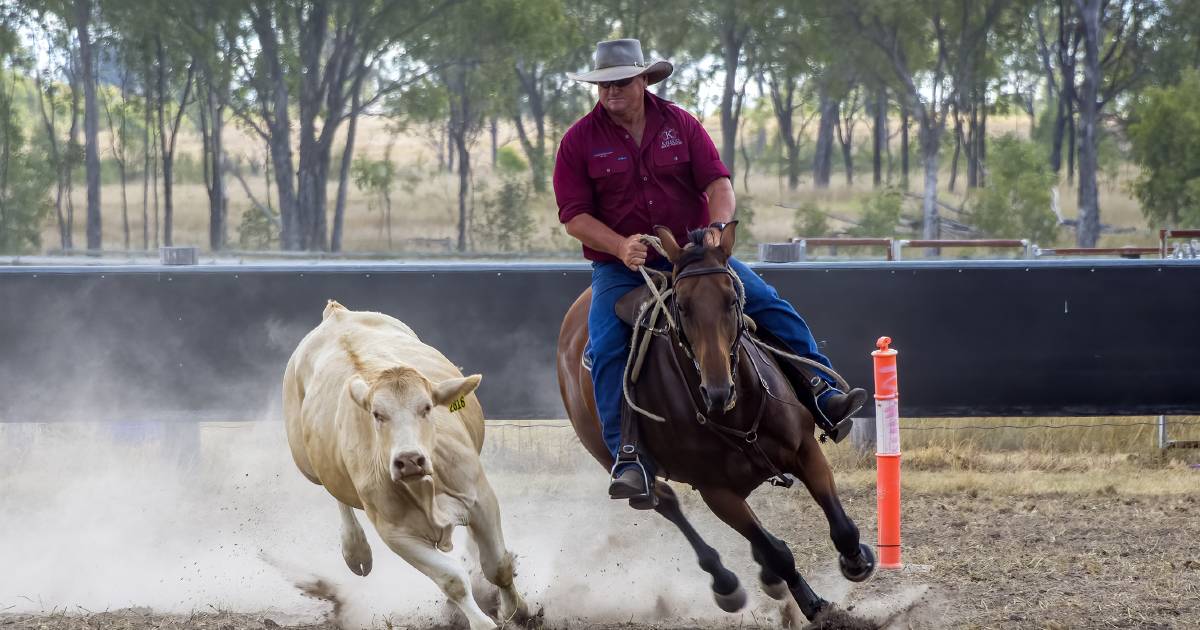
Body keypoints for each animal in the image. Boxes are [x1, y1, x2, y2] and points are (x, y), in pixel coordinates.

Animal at [283, 301, 528, 628]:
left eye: (426, 408)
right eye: (377, 414)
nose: (409, 460)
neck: (425, 488)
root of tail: (336, 313)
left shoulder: (481, 501)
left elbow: (498, 566)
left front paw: (518, 612)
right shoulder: (396, 534)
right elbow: (452, 580)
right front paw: (482, 621)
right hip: (307, 465)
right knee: (335, 494)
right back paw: (356, 550)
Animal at [556, 220, 878, 619]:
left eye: (732, 300)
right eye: (681, 306)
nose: (717, 390)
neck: (736, 411)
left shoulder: (805, 450)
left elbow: (841, 526)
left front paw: (856, 562)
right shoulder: (716, 492)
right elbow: (777, 553)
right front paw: (815, 606)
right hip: (611, 458)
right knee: (665, 502)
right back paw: (725, 582)